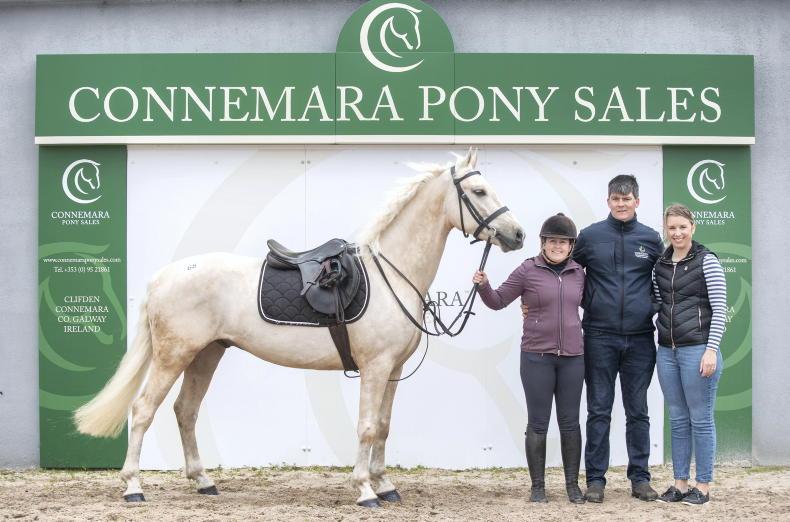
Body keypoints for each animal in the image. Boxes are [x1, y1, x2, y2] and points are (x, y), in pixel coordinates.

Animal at [73, 148, 525, 507]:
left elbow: (383, 427)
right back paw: (133, 487)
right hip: (173, 355)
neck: (392, 275)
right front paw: (365, 491)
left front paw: (386, 486)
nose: (517, 234)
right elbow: (366, 428)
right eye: (479, 191)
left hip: (206, 354)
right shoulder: (375, 367)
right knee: (143, 410)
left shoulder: (393, 370)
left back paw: (203, 481)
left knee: (185, 411)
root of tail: (163, 277)